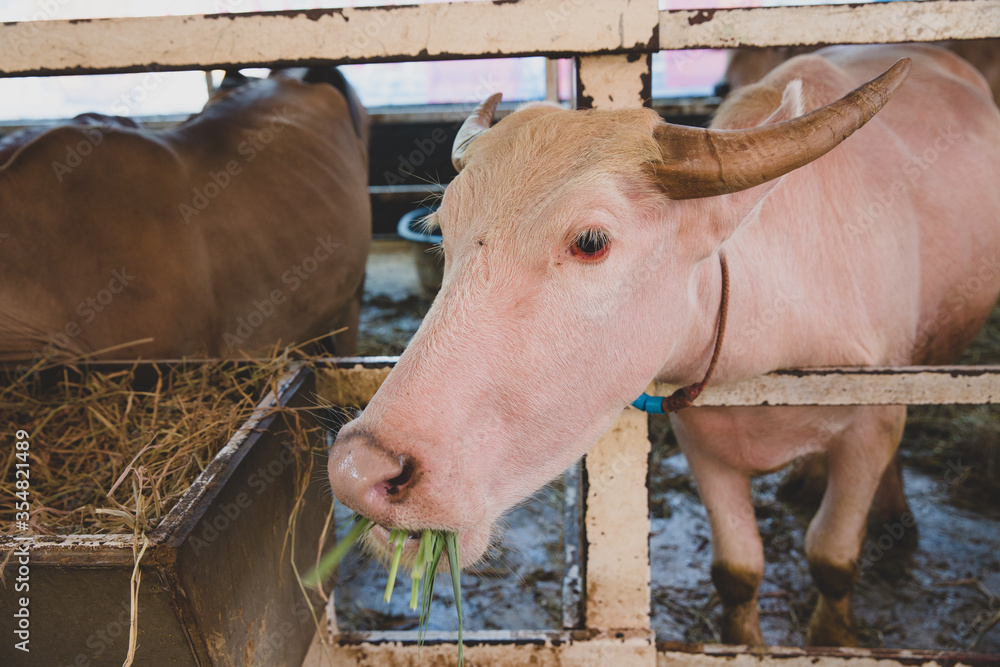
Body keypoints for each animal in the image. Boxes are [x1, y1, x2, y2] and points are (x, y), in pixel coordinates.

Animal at [326, 43, 1000, 648]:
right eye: (443, 231)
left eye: (591, 241)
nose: (361, 470)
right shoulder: (702, 440)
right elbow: (738, 571)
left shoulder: (874, 420)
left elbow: (833, 558)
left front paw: (834, 637)